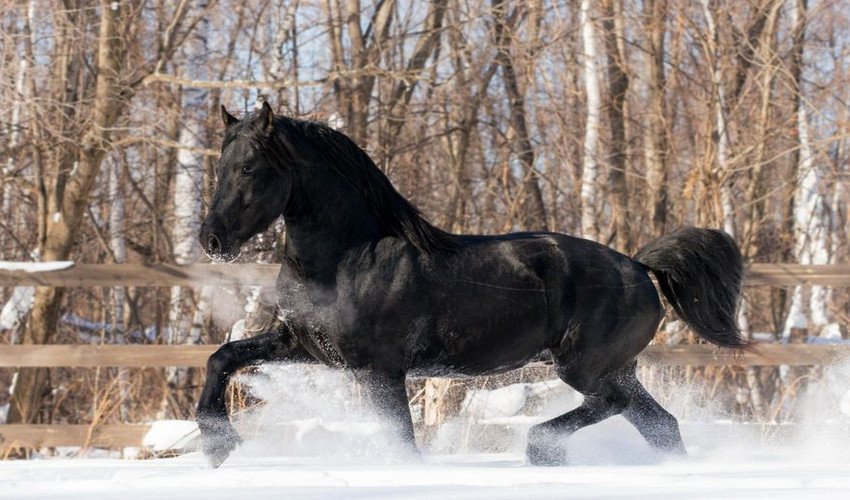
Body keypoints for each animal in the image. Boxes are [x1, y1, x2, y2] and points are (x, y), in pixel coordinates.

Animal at [197, 102, 744, 468]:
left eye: (249, 168)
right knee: (659, 424)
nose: (211, 239)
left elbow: (402, 441)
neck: (346, 260)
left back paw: (541, 447)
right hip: (616, 368)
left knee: (612, 405)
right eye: (220, 167)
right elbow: (223, 357)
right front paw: (216, 445)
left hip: (585, 366)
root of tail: (638, 266)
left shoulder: (380, 369)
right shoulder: (307, 346)